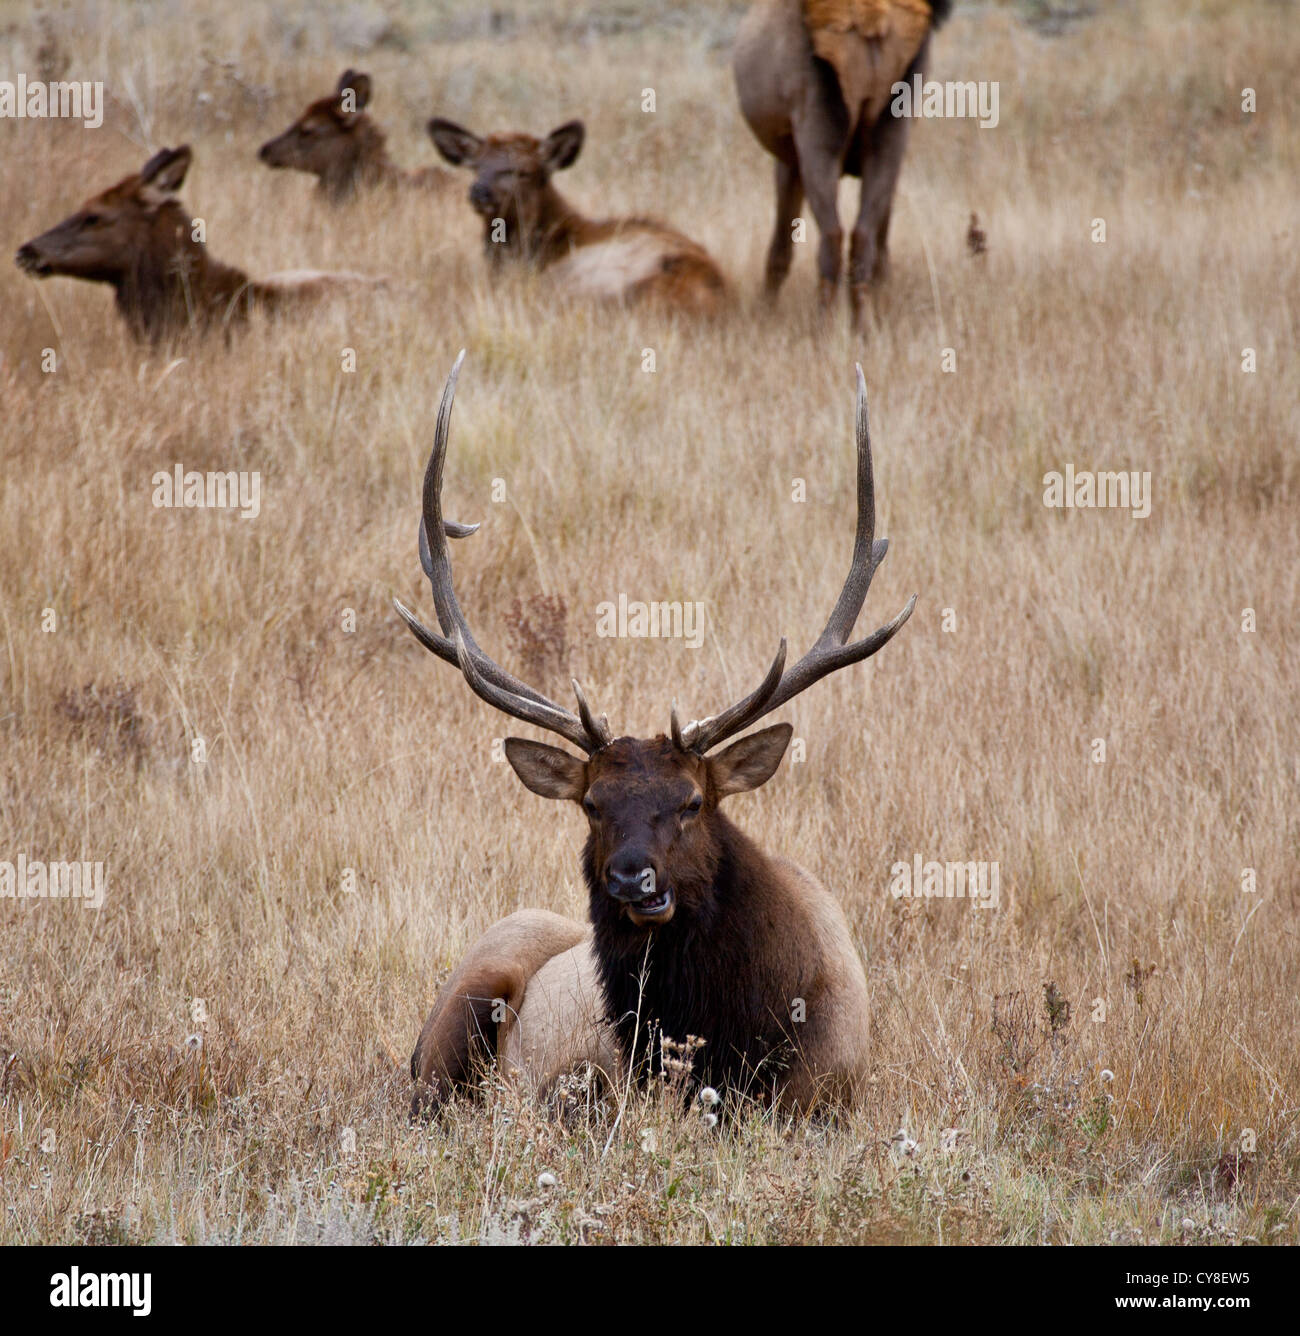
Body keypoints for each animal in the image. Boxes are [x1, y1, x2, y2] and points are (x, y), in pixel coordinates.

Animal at [732, 1, 951, 329]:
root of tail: (871, 18)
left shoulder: (788, 159)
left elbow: (780, 248)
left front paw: (765, 312)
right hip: (892, 130)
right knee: (863, 238)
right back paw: (864, 326)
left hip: (818, 131)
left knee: (832, 236)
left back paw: (821, 328)